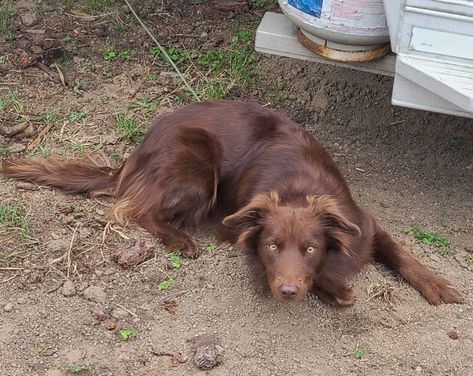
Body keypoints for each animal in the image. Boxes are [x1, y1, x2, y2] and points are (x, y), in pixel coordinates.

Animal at [1, 100, 460, 306]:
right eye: (271, 246)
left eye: (311, 248)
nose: (288, 292)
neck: (298, 188)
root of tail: (135, 156)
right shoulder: (235, 225)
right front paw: (335, 289)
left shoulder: (364, 223)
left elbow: (401, 252)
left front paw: (436, 284)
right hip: (199, 164)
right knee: (138, 211)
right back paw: (181, 240)